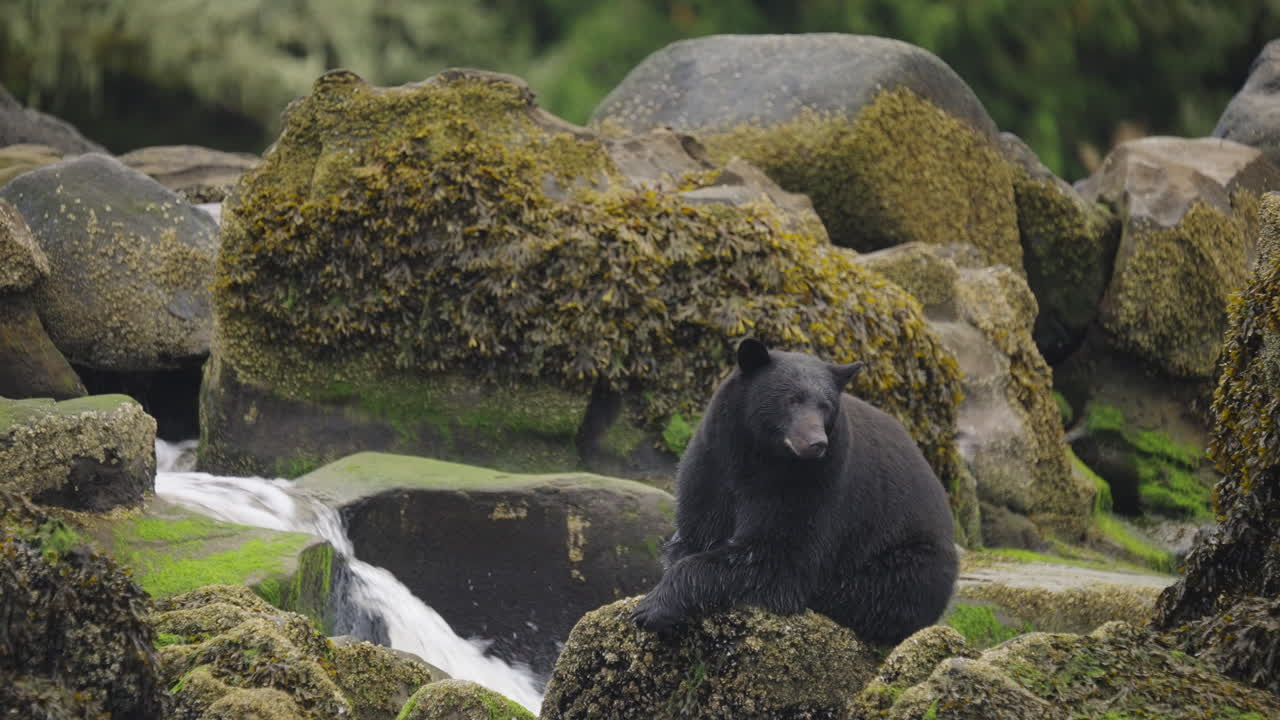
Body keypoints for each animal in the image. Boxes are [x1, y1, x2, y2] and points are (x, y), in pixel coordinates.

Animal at [632, 337, 958, 645]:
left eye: (825, 406)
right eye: (792, 400)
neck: (760, 456)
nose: (816, 443)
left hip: (907, 560)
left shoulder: (815, 483)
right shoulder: (713, 462)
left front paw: (652, 607)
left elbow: (779, 556)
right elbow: (697, 529)